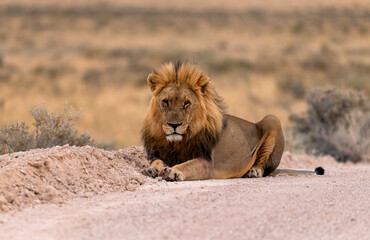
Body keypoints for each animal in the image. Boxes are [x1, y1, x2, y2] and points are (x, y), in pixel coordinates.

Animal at [142, 61, 324, 181]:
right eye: (165, 102)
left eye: (187, 103)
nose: (174, 125)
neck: (178, 142)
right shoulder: (160, 153)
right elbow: (157, 161)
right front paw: (153, 169)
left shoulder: (207, 162)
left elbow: (188, 165)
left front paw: (173, 172)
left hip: (272, 119)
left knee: (264, 166)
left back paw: (254, 172)